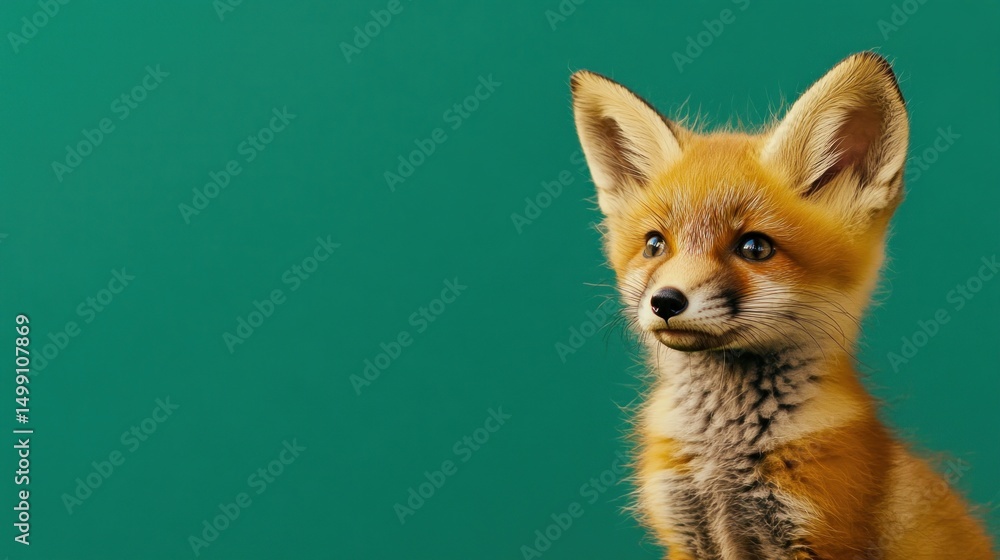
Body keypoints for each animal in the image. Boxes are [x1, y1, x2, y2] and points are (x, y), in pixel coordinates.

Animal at [569, 52, 994, 559]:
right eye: (655, 244)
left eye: (754, 248)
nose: (665, 301)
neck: (722, 454)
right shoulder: (684, 535)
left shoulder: (819, 532)